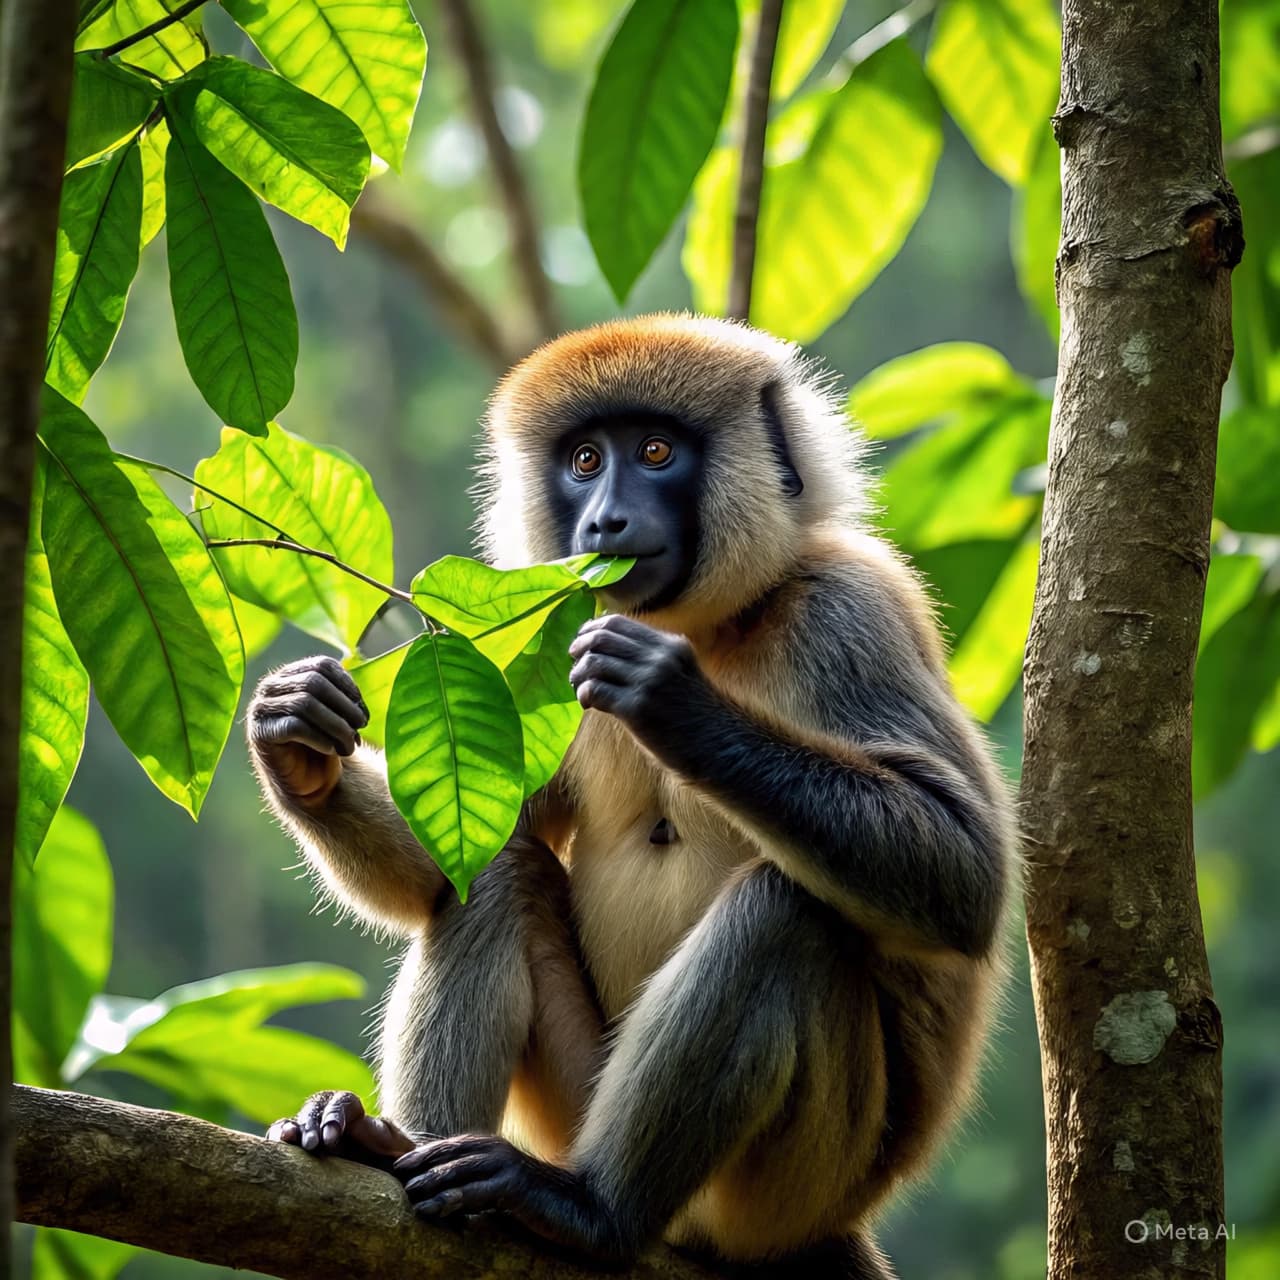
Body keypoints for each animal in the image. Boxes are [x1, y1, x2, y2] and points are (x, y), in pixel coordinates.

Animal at [248, 314, 1017, 1279]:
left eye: (654, 452)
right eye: (585, 461)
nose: (606, 519)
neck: (708, 623)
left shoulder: (845, 610)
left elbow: (966, 877)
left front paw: (668, 698)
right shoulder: (546, 651)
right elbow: (456, 860)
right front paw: (297, 735)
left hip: (788, 1185)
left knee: (786, 913)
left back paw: (593, 1209)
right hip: (576, 1098)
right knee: (498, 871)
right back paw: (390, 1150)